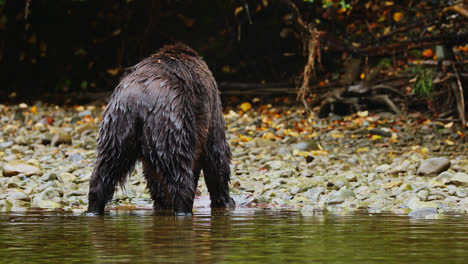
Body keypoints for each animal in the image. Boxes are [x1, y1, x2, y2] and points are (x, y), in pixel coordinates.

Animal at [87, 43, 234, 216]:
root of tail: (139, 99)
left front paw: (162, 203)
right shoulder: (211, 108)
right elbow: (216, 154)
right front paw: (226, 201)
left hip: (117, 126)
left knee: (104, 169)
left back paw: (94, 208)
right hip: (170, 124)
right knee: (179, 172)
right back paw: (184, 209)